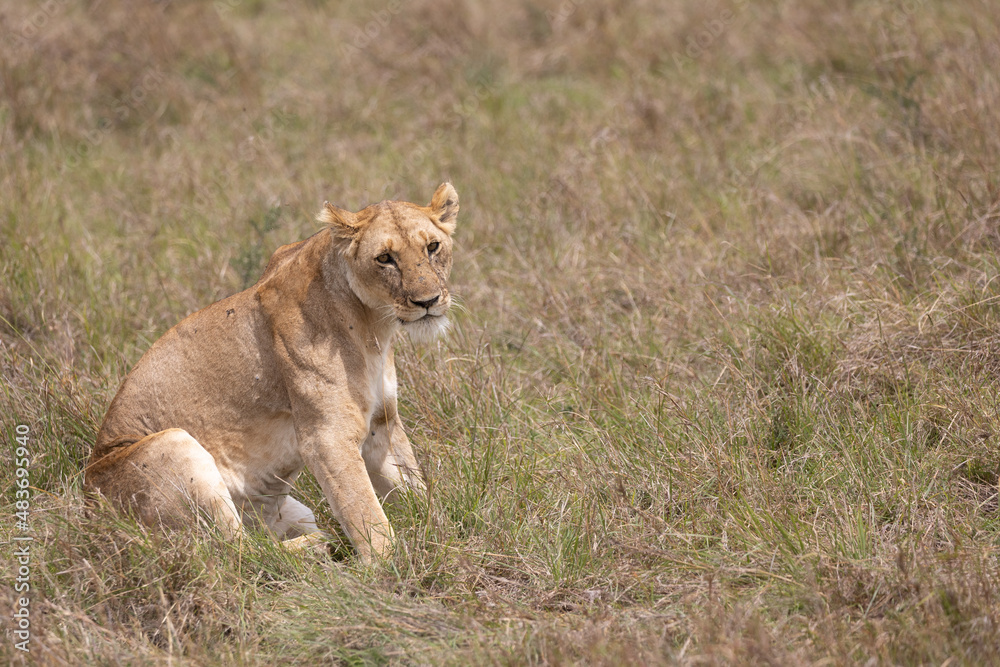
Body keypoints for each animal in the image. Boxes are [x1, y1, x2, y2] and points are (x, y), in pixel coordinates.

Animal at [84, 183, 459, 562]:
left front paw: (443, 525)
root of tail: (88, 512)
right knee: (240, 554)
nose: (428, 301)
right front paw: (390, 568)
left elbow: (411, 484)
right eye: (384, 258)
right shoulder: (326, 437)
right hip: (173, 444)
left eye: (432, 247)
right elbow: (366, 513)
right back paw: (322, 546)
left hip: (292, 509)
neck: (375, 327)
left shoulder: (381, 424)